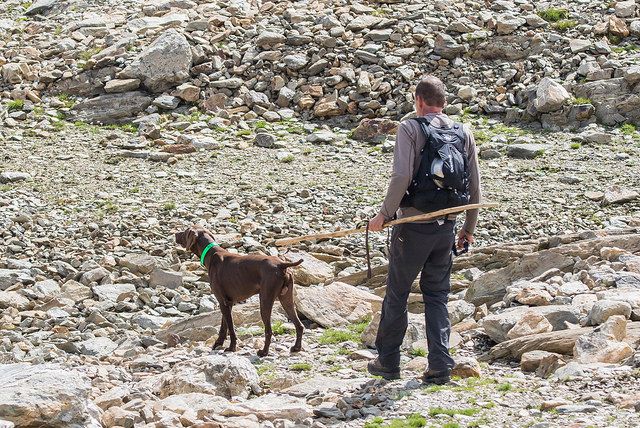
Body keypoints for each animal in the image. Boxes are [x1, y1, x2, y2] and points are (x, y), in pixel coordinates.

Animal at [175, 226, 304, 356]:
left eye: (185, 231)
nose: (175, 234)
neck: (211, 253)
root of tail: (282, 264)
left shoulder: (223, 302)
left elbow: (231, 328)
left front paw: (231, 347)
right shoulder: (227, 303)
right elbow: (223, 326)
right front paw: (218, 343)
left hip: (265, 301)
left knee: (269, 330)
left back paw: (263, 352)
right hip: (286, 299)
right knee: (299, 325)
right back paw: (296, 348)